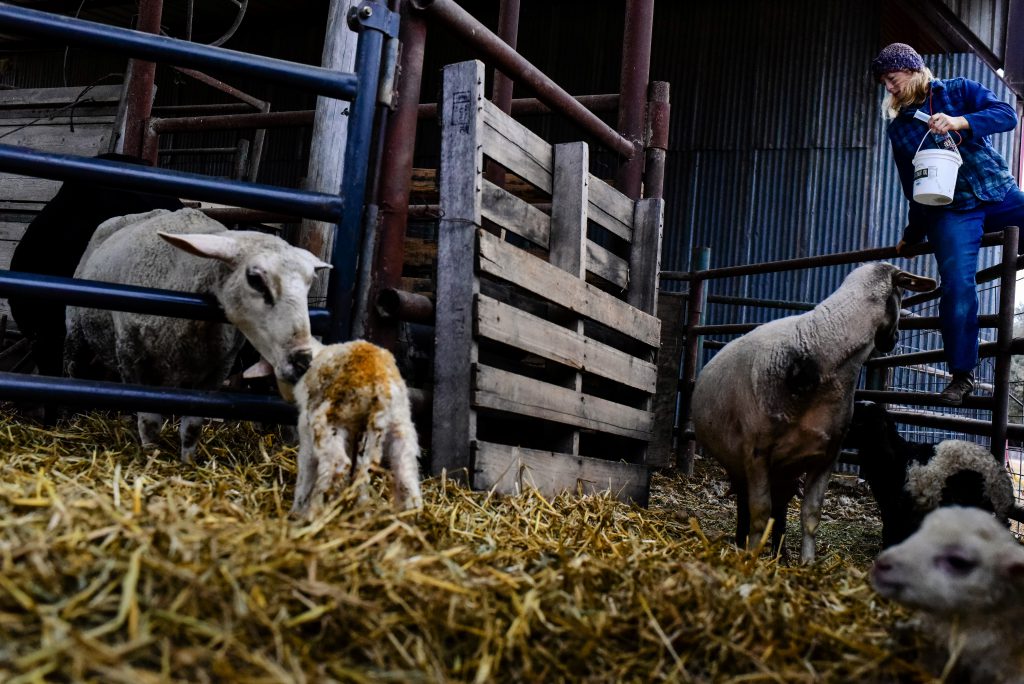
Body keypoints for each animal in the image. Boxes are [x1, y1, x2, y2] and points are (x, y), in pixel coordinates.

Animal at [66, 208, 329, 462]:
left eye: (309, 283)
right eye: (254, 279)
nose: (302, 361)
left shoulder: (217, 371)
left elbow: (191, 427)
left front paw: (187, 462)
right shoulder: (133, 360)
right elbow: (149, 423)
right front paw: (150, 456)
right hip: (76, 332)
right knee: (72, 369)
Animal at [286, 339, 421, 516]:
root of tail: (380, 382)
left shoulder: (306, 430)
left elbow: (305, 470)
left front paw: (297, 510)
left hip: (328, 423)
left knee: (338, 463)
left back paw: (317, 513)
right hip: (400, 428)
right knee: (406, 475)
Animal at [688, 262, 937, 561]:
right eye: (901, 294)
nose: (895, 339)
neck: (818, 349)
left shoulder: (826, 456)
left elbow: (811, 515)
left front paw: (807, 562)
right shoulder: (756, 452)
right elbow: (759, 515)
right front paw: (753, 556)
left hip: (785, 469)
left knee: (780, 509)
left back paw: (780, 554)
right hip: (740, 462)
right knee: (746, 506)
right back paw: (743, 544)